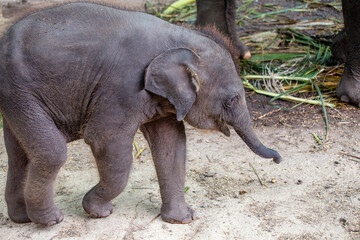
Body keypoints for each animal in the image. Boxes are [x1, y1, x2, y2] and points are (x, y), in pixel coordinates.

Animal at [0, 2, 282, 227]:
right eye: (232, 100)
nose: (279, 159)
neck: (178, 37)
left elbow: (172, 146)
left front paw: (183, 220)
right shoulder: (120, 89)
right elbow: (104, 141)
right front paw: (99, 211)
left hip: (16, 99)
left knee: (19, 155)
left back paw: (22, 219)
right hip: (20, 90)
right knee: (52, 153)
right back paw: (51, 220)